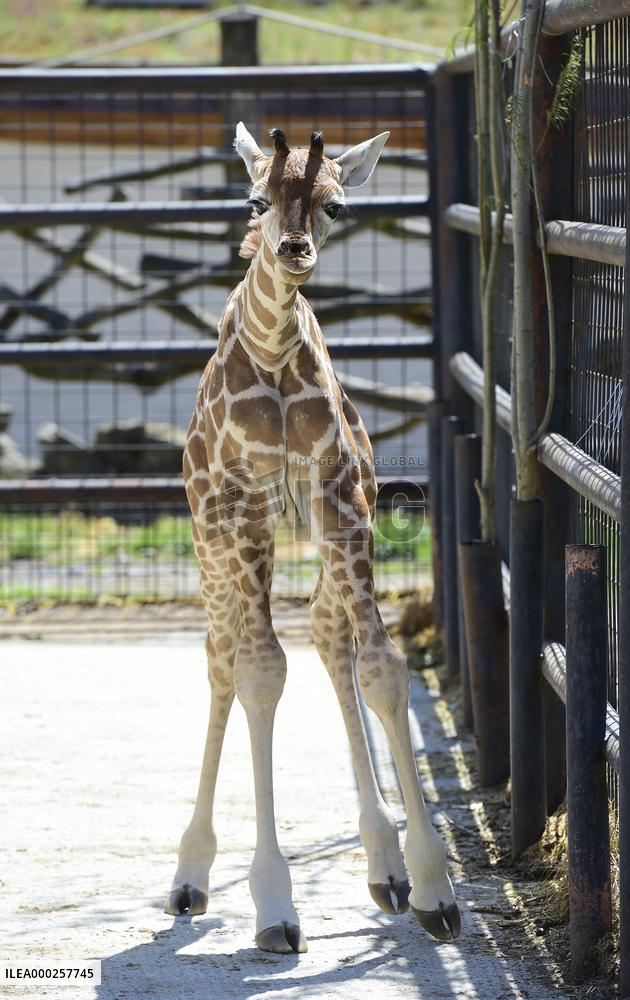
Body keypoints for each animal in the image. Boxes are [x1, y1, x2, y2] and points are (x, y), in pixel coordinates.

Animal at [165, 123, 461, 954]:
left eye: (334, 203)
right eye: (255, 199)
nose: (292, 249)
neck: (270, 347)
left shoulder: (341, 498)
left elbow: (382, 666)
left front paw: (432, 885)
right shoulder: (241, 506)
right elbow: (262, 670)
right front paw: (274, 905)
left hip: (308, 537)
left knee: (329, 637)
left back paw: (384, 865)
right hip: (213, 541)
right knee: (223, 659)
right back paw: (190, 877)